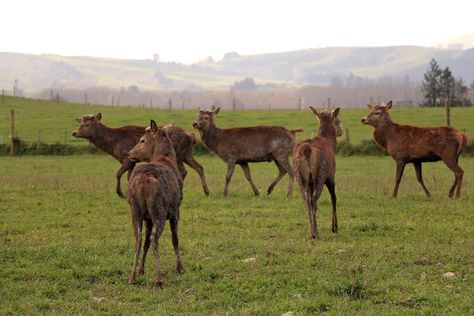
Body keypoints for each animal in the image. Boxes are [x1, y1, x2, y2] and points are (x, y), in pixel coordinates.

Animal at [72, 113, 209, 198]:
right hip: (188, 154)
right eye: (80, 123)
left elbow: (118, 174)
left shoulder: (127, 159)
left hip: (179, 154)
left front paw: (121, 193)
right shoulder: (131, 161)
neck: (113, 143)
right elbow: (128, 177)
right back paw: (206, 191)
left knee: (183, 171)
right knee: (199, 167)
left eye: (87, 124)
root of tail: (192, 136)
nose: (74, 133)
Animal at [125, 119, 184, 286]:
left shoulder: (147, 218)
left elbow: (145, 242)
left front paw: (142, 270)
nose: (129, 153)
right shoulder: (176, 210)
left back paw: (132, 277)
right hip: (159, 210)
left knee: (139, 238)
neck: (168, 160)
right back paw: (158, 278)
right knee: (154, 238)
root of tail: (143, 183)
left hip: (135, 209)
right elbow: (175, 239)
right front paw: (180, 268)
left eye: (142, 140)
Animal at [292, 107, 340, 239]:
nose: (341, 131)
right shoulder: (331, 175)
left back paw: (312, 232)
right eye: (338, 120)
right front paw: (334, 227)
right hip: (320, 175)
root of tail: (306, 149)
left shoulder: (309, 183)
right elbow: (333, 198)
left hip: (300, 177)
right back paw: (315, 233)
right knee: (314, 199)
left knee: (307, 200)